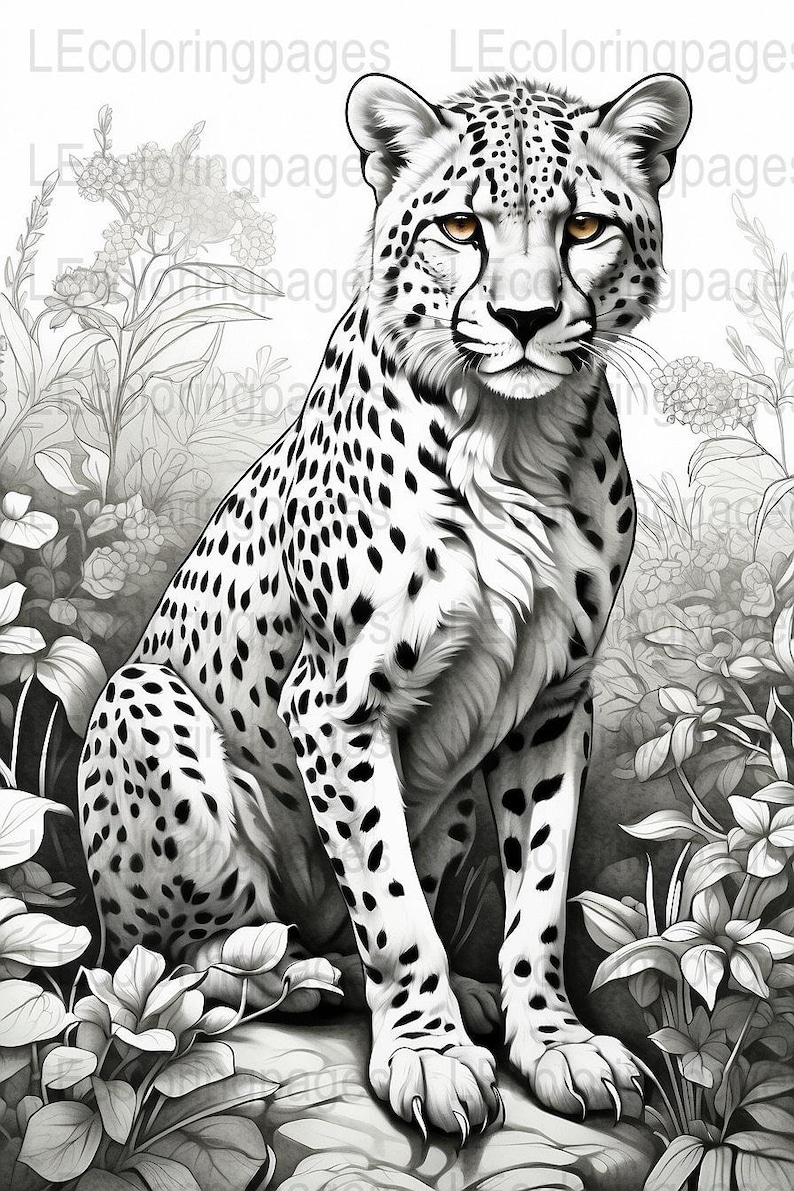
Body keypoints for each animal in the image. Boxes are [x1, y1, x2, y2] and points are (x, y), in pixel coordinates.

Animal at [79, 70, 691, 1139]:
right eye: (461, 226)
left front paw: (552, 1037)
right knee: (174, 967)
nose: (525, 318)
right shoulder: (334, 702)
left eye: (583, 225)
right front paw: (429, 1053)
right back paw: (298, 975)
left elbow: (538, 890)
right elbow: (394, 904)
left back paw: (458, 993)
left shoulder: (550, 705)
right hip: (143, 701)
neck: (511, 437)